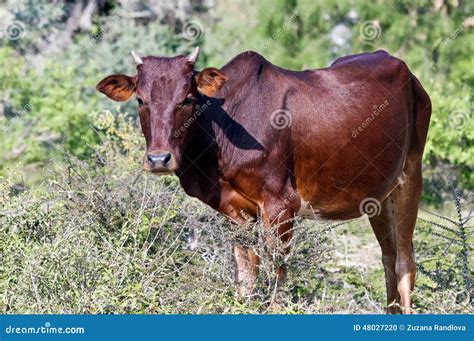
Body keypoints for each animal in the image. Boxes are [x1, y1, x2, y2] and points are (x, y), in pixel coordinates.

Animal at [95, 46, 430, 312]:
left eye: (187, 99)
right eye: (140, 100)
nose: (158, 159)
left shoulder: (281, 206)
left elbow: (276, 274)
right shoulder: (235, 212)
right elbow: (246, 276)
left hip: (410, 178)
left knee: (404, 262)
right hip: (380, 196)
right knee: (387, 258)